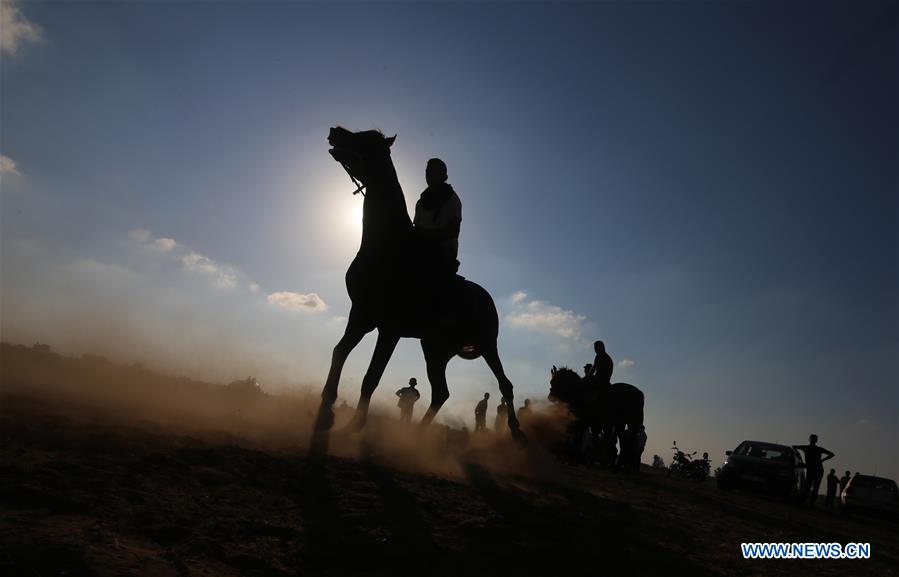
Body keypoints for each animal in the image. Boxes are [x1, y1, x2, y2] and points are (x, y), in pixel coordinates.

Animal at [316, 126, 528, 438]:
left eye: (368, 139)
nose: (336, 131)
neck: (387, 246)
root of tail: (487, 300)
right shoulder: (361, 315)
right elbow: (339, 352)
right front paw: (327, 407)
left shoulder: (389, 328)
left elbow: (372, 376)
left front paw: (353, 425)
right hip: (435, 350)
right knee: (441, 392)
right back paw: (416, 434)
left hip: (488, 345)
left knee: (505, 384)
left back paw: (515, 430)